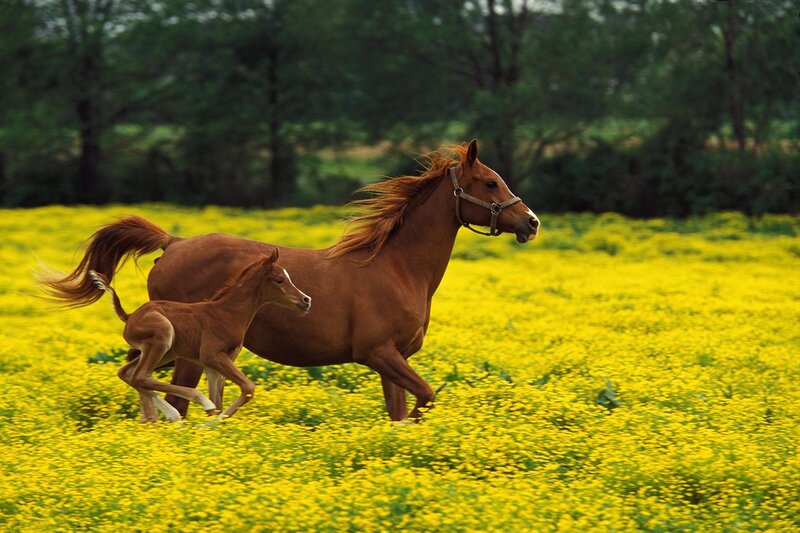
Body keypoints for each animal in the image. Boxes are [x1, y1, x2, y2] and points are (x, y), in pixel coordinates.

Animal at [87, 249, 311, 422]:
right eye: (279, 280)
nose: (306, 300)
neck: (228, 313)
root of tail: (130, 316)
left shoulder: (216, 364)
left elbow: (220, 401)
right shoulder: (210, 355)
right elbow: (247, 387)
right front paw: (211, 422)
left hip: (166, 352)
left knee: (129, 374)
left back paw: (170, 415)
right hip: (163, 336)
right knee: (141, 376)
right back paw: (192, 405)